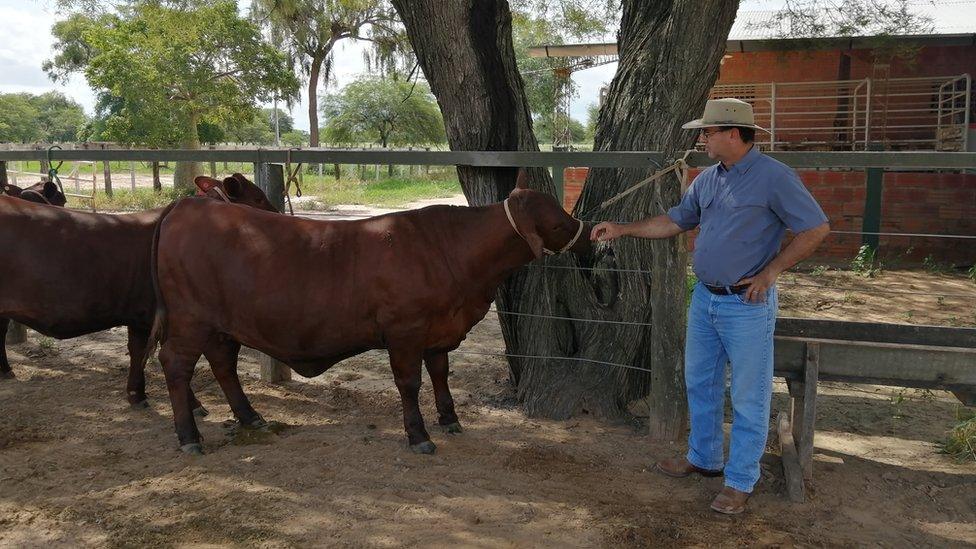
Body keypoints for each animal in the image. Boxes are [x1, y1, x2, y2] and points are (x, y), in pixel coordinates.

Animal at [0, 173, 276, 414]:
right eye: (259, 198)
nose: (278, 215)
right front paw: (193, 404)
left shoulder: (141, 316)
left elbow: (138, 352)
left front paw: (136, 394)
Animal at [149, 171, 592, 454]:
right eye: (557, 222)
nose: (589, 238)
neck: (451, 251)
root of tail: (183, 207)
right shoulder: (405, 330)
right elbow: (409, 383)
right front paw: (419, 435)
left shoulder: (439, 330)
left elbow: (440, 373)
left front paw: (450, 419)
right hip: (190, 321)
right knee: (175, 364)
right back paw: (189, 437)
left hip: (219, 325)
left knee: (223, 363)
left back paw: (250, 417)